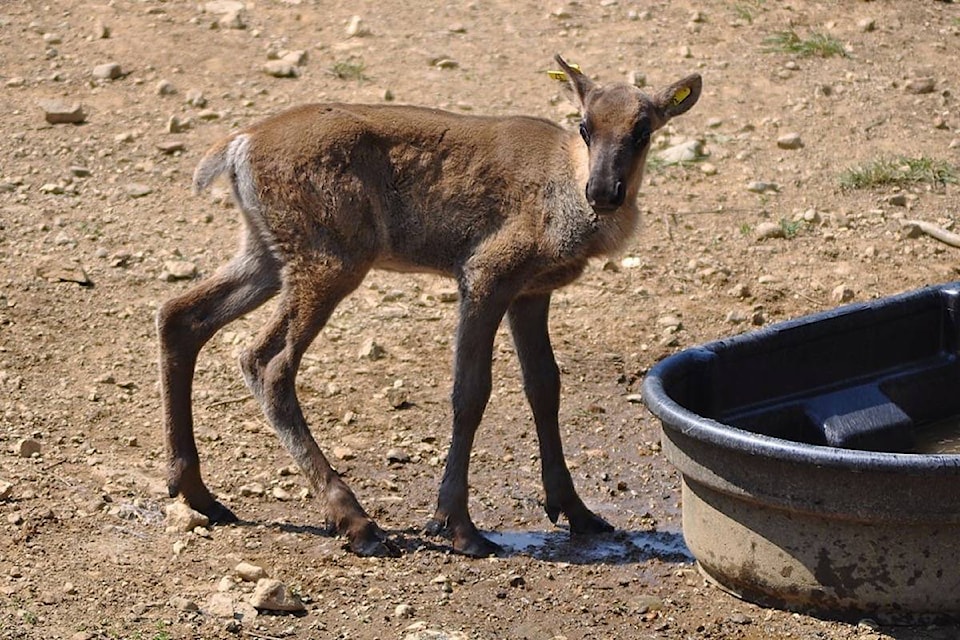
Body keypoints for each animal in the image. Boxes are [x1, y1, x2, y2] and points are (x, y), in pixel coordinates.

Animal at [156, 56, 696, 556]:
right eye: (585, 126)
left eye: (643, 130)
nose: (603, 192)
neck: (565, 192)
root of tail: (237, 146)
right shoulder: (484, 275)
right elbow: (470, 392)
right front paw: (458, 526)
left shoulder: (531, 291)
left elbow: (544, 387)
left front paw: (578, 512)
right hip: (329, 260)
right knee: (266, 361)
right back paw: (357, 522)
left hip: (266, 254)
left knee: (181, 315)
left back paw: (198, 493)